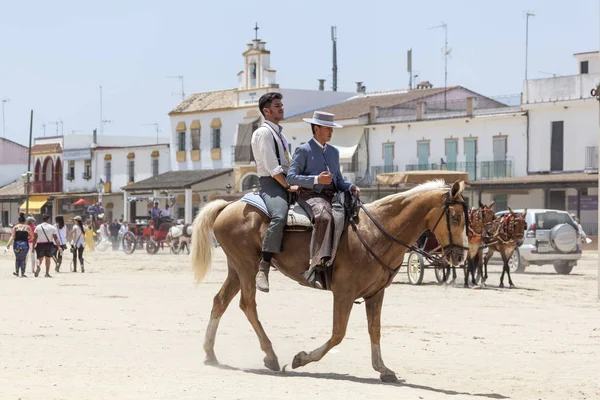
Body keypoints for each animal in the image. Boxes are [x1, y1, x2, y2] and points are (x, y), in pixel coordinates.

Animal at [191, 180, 468, 382]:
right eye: (455, 217)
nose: (461, 255)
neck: (375, 232)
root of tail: (228, 206)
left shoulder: (376, 293)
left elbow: (375, 330)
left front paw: (382, 368)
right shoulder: (344, 293)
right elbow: (338, 334)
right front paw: (301, 358)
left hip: (236, 270)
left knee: (220, 301)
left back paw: (210, 353)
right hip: (247, 268)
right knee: (247, 304)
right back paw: (269, 355)